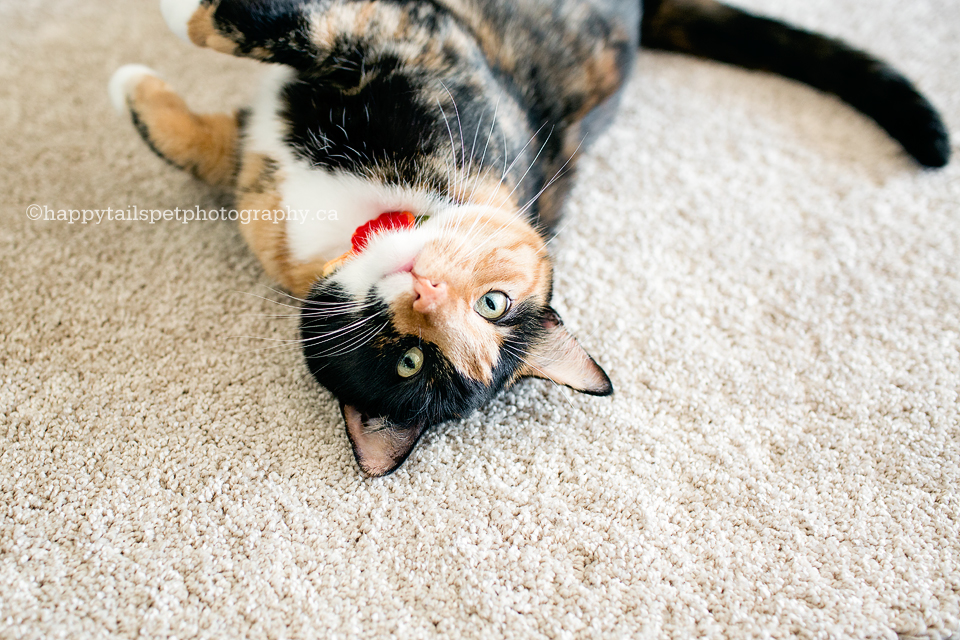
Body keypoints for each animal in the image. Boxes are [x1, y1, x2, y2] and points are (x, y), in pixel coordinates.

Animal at [109, 0, 948, 476]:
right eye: (497, 304)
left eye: (414, 360)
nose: (426, 289)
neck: (357, 215)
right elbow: (233, 71)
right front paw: (145, 74)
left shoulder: (419, 38)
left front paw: (145, 58)